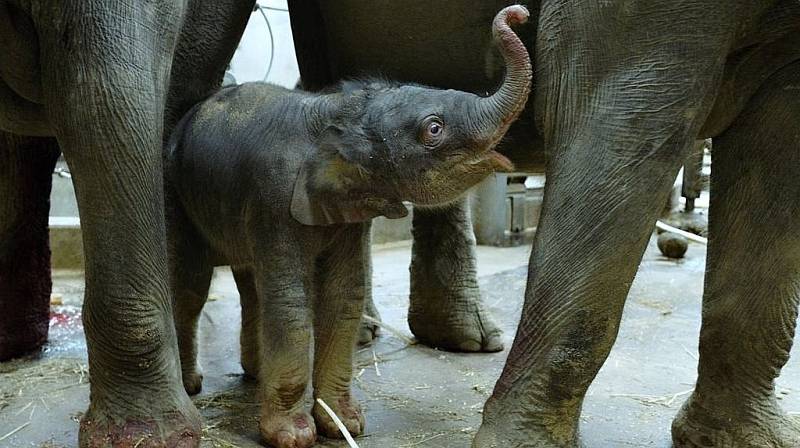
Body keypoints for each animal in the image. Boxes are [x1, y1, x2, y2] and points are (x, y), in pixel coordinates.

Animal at [167, 5, 532, 446]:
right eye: (433, 128)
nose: (518, 14)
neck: (337, 112)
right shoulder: (275, 198)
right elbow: (291, 303)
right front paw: (293, 436)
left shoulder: (346, 210)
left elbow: (344, 295)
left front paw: (345, 424)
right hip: (176, 194)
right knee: (192, 286)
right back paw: (192, 385)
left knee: (250, 284)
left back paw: (254, 377)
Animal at [290, 1, 800, 446]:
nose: (517, 14)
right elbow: (622, 122)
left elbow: (776, 155)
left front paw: (747, 439)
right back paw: (372, 337)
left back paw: (461, 339)